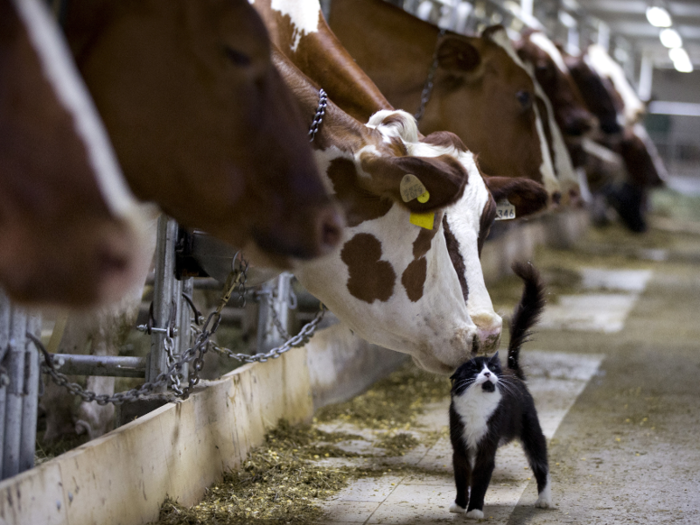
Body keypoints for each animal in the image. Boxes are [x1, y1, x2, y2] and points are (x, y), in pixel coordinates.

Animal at [448, 260, 552, 516]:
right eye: (474, 369)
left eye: (492, 368)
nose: (488, 373)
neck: (477, 406)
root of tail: (513, 371)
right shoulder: (460, 446)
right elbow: (462, 476)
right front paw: (459, 505)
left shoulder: (487, 446)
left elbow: (481, 478)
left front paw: (475, 510)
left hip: (532, 431)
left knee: (541, 464)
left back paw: (544, 500)